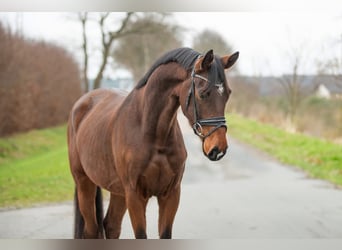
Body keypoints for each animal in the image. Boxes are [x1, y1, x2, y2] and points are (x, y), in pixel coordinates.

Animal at [66, 47, 238, 238]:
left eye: (228, 94)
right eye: (203, 94)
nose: (218, 148)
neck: (152, 133)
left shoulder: (171, 194)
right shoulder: (135, 195)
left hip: (117, 190)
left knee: (111, 225)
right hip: (84, 183)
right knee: (91, 229)